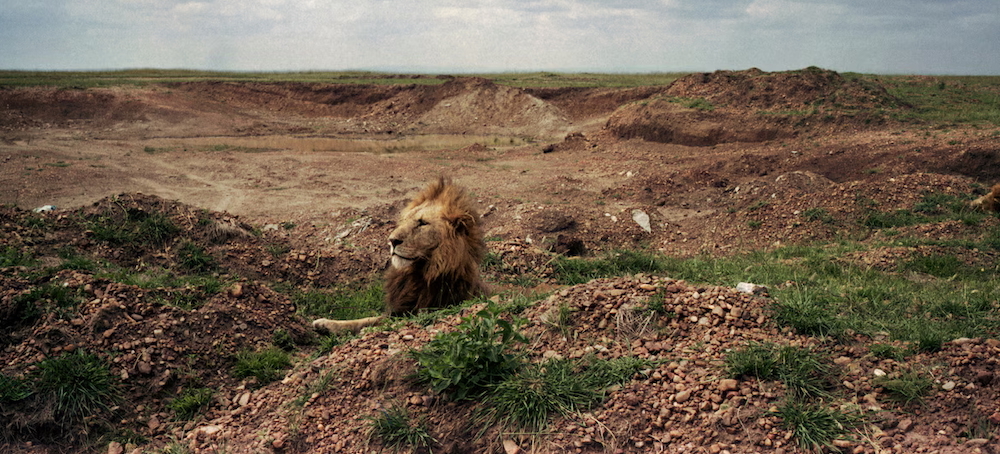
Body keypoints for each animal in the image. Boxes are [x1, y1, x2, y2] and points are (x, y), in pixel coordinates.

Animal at [312, 178, 487, 333]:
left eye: (422, 223)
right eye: (405, 220)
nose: (392, 241)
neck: (420, 275)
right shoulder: (399, 310)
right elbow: (365, 320)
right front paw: (325, 324)